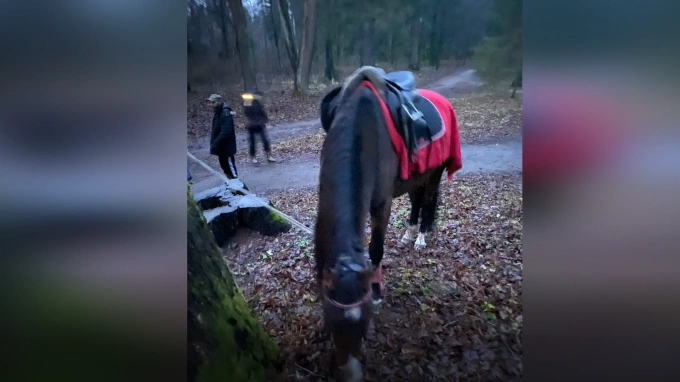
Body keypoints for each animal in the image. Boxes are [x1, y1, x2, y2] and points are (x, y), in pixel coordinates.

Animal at [314, 67, 462, 380]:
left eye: (364, 327)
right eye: (333, 326)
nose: (352, 374)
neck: (362, 130)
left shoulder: (381, 204)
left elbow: (376, 251)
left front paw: (378, 291)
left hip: (434, 173)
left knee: (427, 201)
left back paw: (421, 238)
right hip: (417, 175)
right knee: (417, 200)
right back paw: (409, 234)